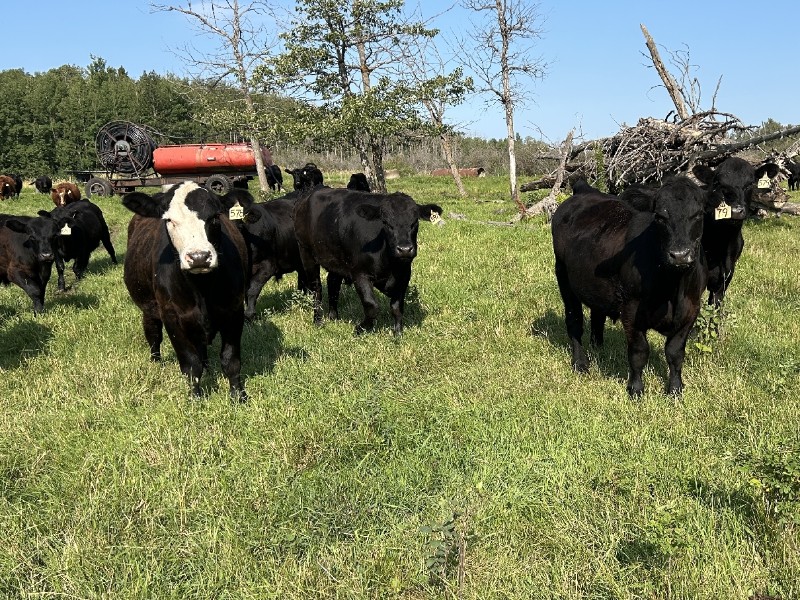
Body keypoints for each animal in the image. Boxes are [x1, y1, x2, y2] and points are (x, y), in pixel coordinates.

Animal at [122, 181, 250, 401]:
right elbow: (190, 364)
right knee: (153, 333)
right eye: (169, 220)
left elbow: (231, 360)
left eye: (215, 216)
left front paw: (238, 396)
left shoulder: (234, 311)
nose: (199, 257)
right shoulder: (172, 318)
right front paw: (195, 398)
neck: (201, 289)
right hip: (149, 308)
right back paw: (156, 361)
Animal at [294, 187, 442, 336]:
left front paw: (398, 333)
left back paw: (333, 316)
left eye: (415, 222)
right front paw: (360, 329)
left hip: (336, 259)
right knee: (316, 288)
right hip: (306, 252)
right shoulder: (360, 274)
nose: (404, 249)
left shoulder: (404, 274)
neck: (390, 265)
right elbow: (372, 306)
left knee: (333, 283)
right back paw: (318, 320)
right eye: (386, 222)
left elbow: (397, 307)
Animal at [551, 176, 707, 397]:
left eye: (699, 214)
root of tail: (584, 190)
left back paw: (599, 348)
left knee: (597, 314)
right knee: (574, 322)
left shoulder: (692, 310)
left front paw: (675, 390)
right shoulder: (631, 310)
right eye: (660, 216)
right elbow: (639, 351)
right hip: (564, 277)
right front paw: (635, 389)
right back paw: (580, 363)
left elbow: (675, 353)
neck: (673, 288)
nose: (679, 255)